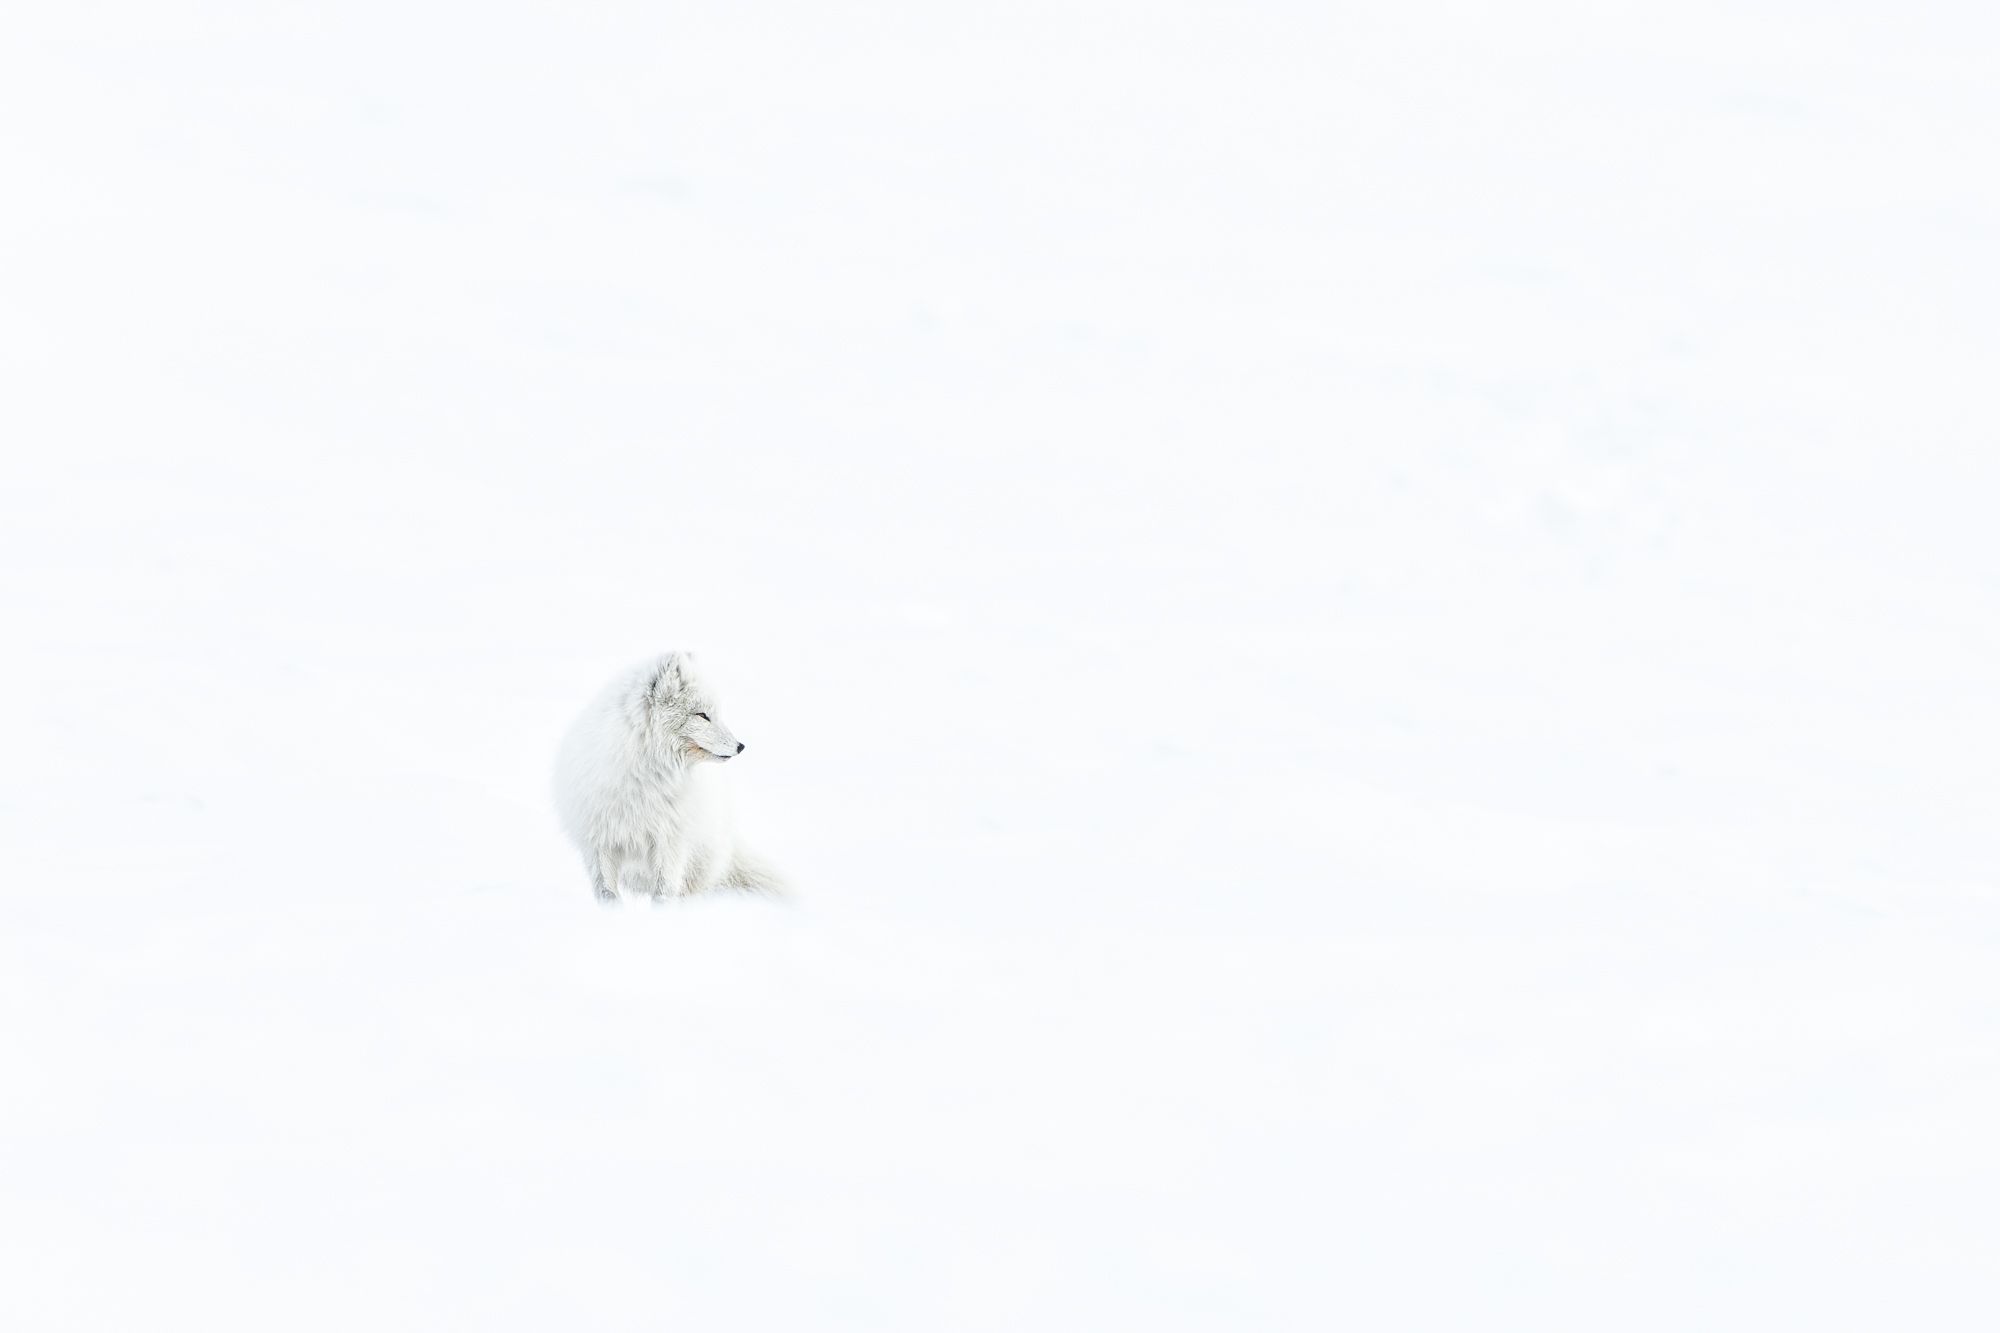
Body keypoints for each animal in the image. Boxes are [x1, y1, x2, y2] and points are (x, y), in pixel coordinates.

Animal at [552, 652, 785, 902]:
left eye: (714, 713)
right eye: (702, 715)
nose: (740, 746)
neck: (643, 777)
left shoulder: (669, 842)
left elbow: (663, 893)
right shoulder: (599, 841)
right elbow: (607, 893)